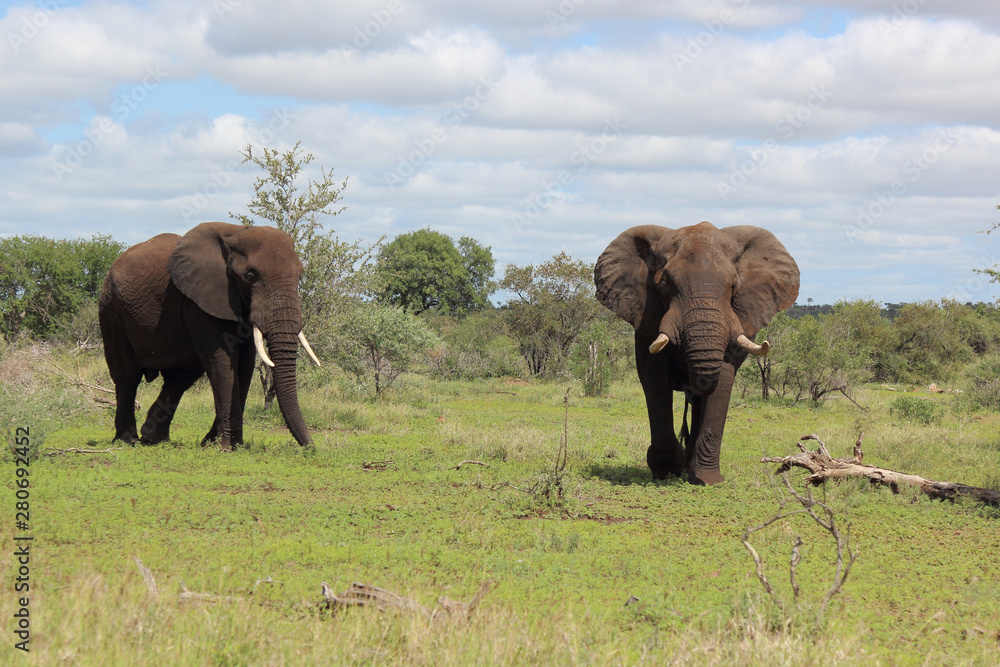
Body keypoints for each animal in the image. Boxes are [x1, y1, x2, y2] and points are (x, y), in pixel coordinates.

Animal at [98, 222, 321, 451]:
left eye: (300, 276)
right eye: (250, 276)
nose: (312, 448)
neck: (237, 232)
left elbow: (245, 365)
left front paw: (218, 443)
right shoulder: (199, 301)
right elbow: (222, 360)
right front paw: (228, 447)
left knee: (180, 377)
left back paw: (154, 439)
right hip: (112, 309)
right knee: (127, 375)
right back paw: (127, 440)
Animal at [594, 221, 799, 485]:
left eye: (734, 286)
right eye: (665, 283)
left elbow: (722, 379)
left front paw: (706, 480)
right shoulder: (647, 312)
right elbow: (654, 378)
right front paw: (666, 471)